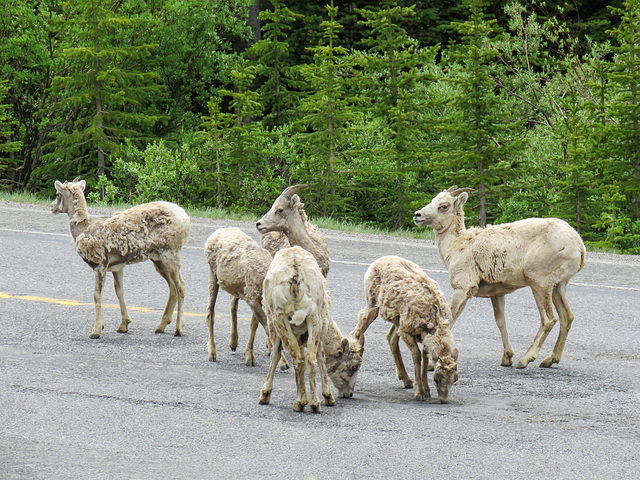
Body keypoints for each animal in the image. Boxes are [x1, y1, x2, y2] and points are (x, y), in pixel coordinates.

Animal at [50, 178, 190, 340]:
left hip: (169, 253)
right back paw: (161, 326)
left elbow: (97, 295)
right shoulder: (117, 267)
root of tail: (185, 218)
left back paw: (178, 329)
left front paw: (96, 330)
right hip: (158, 259)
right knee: (172, 286)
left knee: (181, 285)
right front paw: (124, 325)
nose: (52, 207)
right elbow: (120, 292)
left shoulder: (100, 265)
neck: (84, 229)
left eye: (58, 194)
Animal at [205, 227, 288, 370]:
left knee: (233, 303)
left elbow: (254, 325)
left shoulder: (256, 298)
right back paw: (212, 353)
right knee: (211, 312)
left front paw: (249, 356)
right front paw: (283, 362)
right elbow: (267, 328)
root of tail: (217, 232)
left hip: (237, 286)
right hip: (213, 274)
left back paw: (233, 343)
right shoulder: (252, 298)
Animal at [258, 248, 362, 412]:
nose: (349, 393)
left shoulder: (275, 327)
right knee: (310, 359)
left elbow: (275, 355)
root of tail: (295, 275)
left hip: (282, 319)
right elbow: (319, 358)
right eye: (354, 366)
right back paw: (314, 404)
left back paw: (301, 402)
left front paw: (265, 395)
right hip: (312, 318)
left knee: (299, 359)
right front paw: (327, 397)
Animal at [350, 256, 460, 404]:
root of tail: (379, 260)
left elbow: (425, 360)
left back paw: (406, 380)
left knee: (390, 338)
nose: (443, 400)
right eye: (437, 379)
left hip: (397, 320)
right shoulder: (406, 332)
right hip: (372, 306)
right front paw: (419, 393)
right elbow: (417, 356)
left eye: (455, 379)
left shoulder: (423, 338)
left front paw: (426, 390)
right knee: (357, 332)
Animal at [412, 186, 588, 370]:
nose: (417, 215)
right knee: (566, 317)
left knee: (549, 319)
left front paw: (433, 363)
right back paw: (549, 360)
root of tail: (578, 245)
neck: (457, 246)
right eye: (433, 200)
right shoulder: (497, 293)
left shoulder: (463, 289)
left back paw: (525, 360)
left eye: (444, 206)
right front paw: (506, 358)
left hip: (540, 284)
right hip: (559, 285)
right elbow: (501, 322)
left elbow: (449, 320)